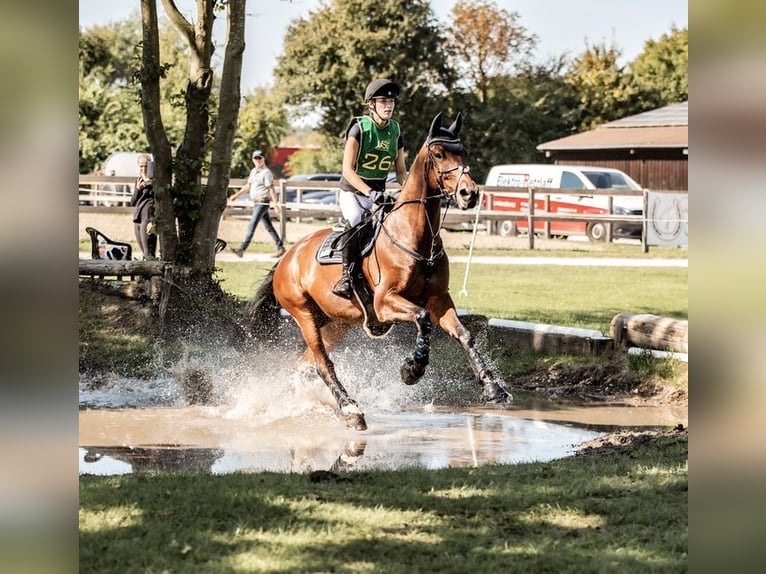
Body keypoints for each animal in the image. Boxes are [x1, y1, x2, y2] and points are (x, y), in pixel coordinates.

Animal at [252, 112, 512, 430]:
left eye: (463, 152)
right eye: (439, 154)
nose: (469, 194)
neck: (415, 235)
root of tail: (287, 258)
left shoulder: (438, 299)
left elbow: (464, 335)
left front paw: (493, 388)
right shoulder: (385, 302)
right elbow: (422, 319)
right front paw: (412, 369)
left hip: (336, 322)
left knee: (306, 364)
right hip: (303, 314)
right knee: (323, 364)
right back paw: (351, 410)